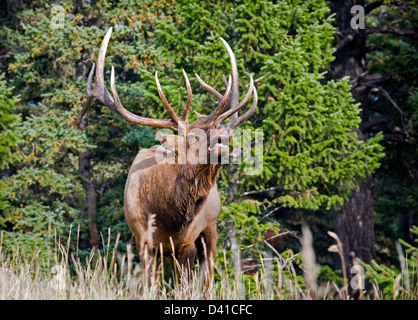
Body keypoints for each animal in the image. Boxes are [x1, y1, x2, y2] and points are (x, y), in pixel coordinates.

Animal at [76, 28, 258, 288]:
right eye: (191, 137)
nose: (226, 133)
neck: (165, 217)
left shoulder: (187, 241)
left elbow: (187, 285)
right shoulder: (143, 241)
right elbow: (152, 286)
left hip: (210, 228)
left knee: (207, 279)